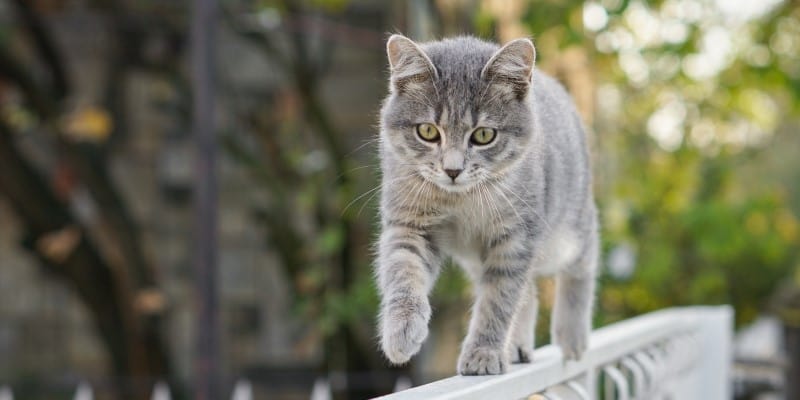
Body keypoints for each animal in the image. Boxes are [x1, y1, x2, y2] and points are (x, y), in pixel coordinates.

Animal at [374, 34, 592, 376]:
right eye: (427, 131)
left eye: (484, 135)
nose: (452, 170)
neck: (459, 200)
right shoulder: (409, 224)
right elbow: (403, 271)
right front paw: (401, 330)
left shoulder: (516, 239)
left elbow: (498, 300)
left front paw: (483, 352)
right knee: (528, 293)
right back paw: (517, 346)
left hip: (568, 231)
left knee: (583, 263)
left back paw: (572, 335)